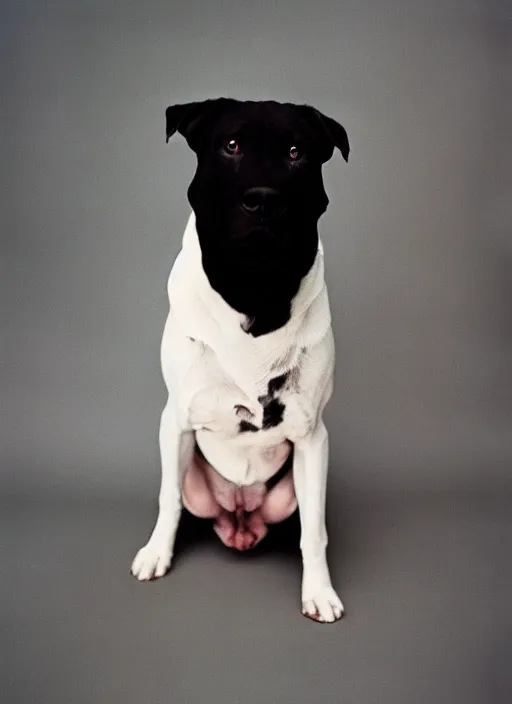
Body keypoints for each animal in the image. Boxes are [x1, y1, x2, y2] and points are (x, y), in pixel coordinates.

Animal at [130, 97, 350, 620]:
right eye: (230, 145)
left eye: (295, 152)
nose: (263, 198)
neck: (255, 287)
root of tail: (240, 518)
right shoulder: (176, 420)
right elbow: (167, 499)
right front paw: (157, 553)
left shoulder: (312, 436)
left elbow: (315, 531)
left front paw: (318, 590)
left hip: (291, 487)